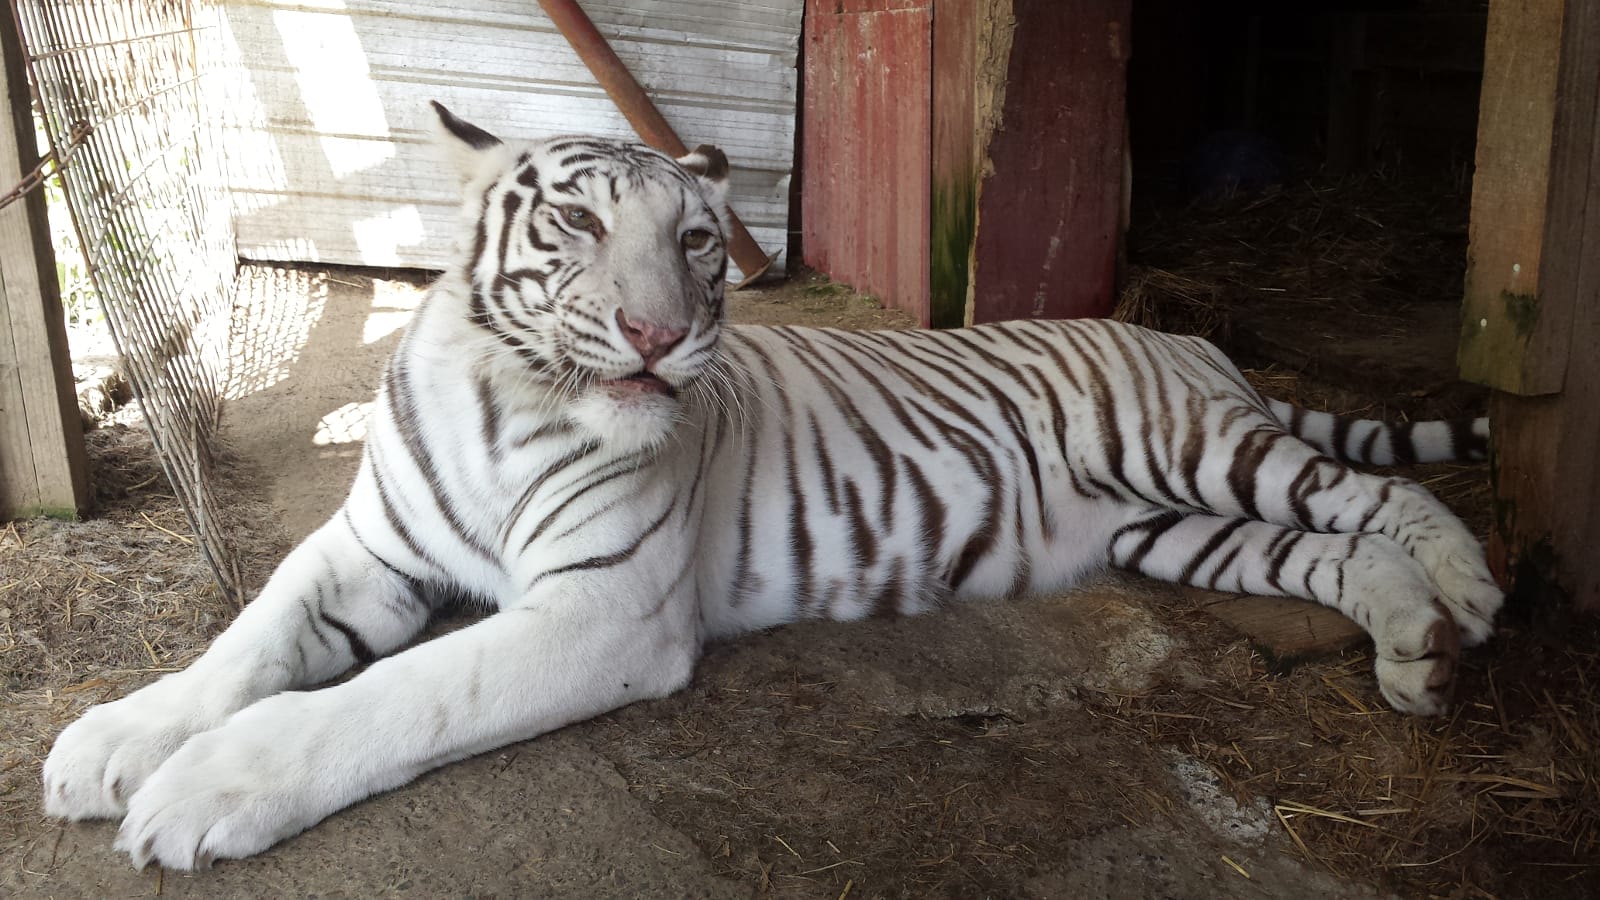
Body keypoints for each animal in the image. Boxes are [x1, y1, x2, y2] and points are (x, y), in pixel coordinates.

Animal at [42, 102, 1503, 871]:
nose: (656, 335)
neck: (510, 399)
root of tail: (1186, 335)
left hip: (1190, 446)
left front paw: (206, 792)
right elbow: (248, 641)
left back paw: (1472, 596)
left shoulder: (600, 614)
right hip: (1171, 528)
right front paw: (115, 741)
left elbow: (398, 695)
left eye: (698, 242)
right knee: (1334, 553)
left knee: (1374, 500)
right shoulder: (371, 550)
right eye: (577, 223)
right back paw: (1417, 654)